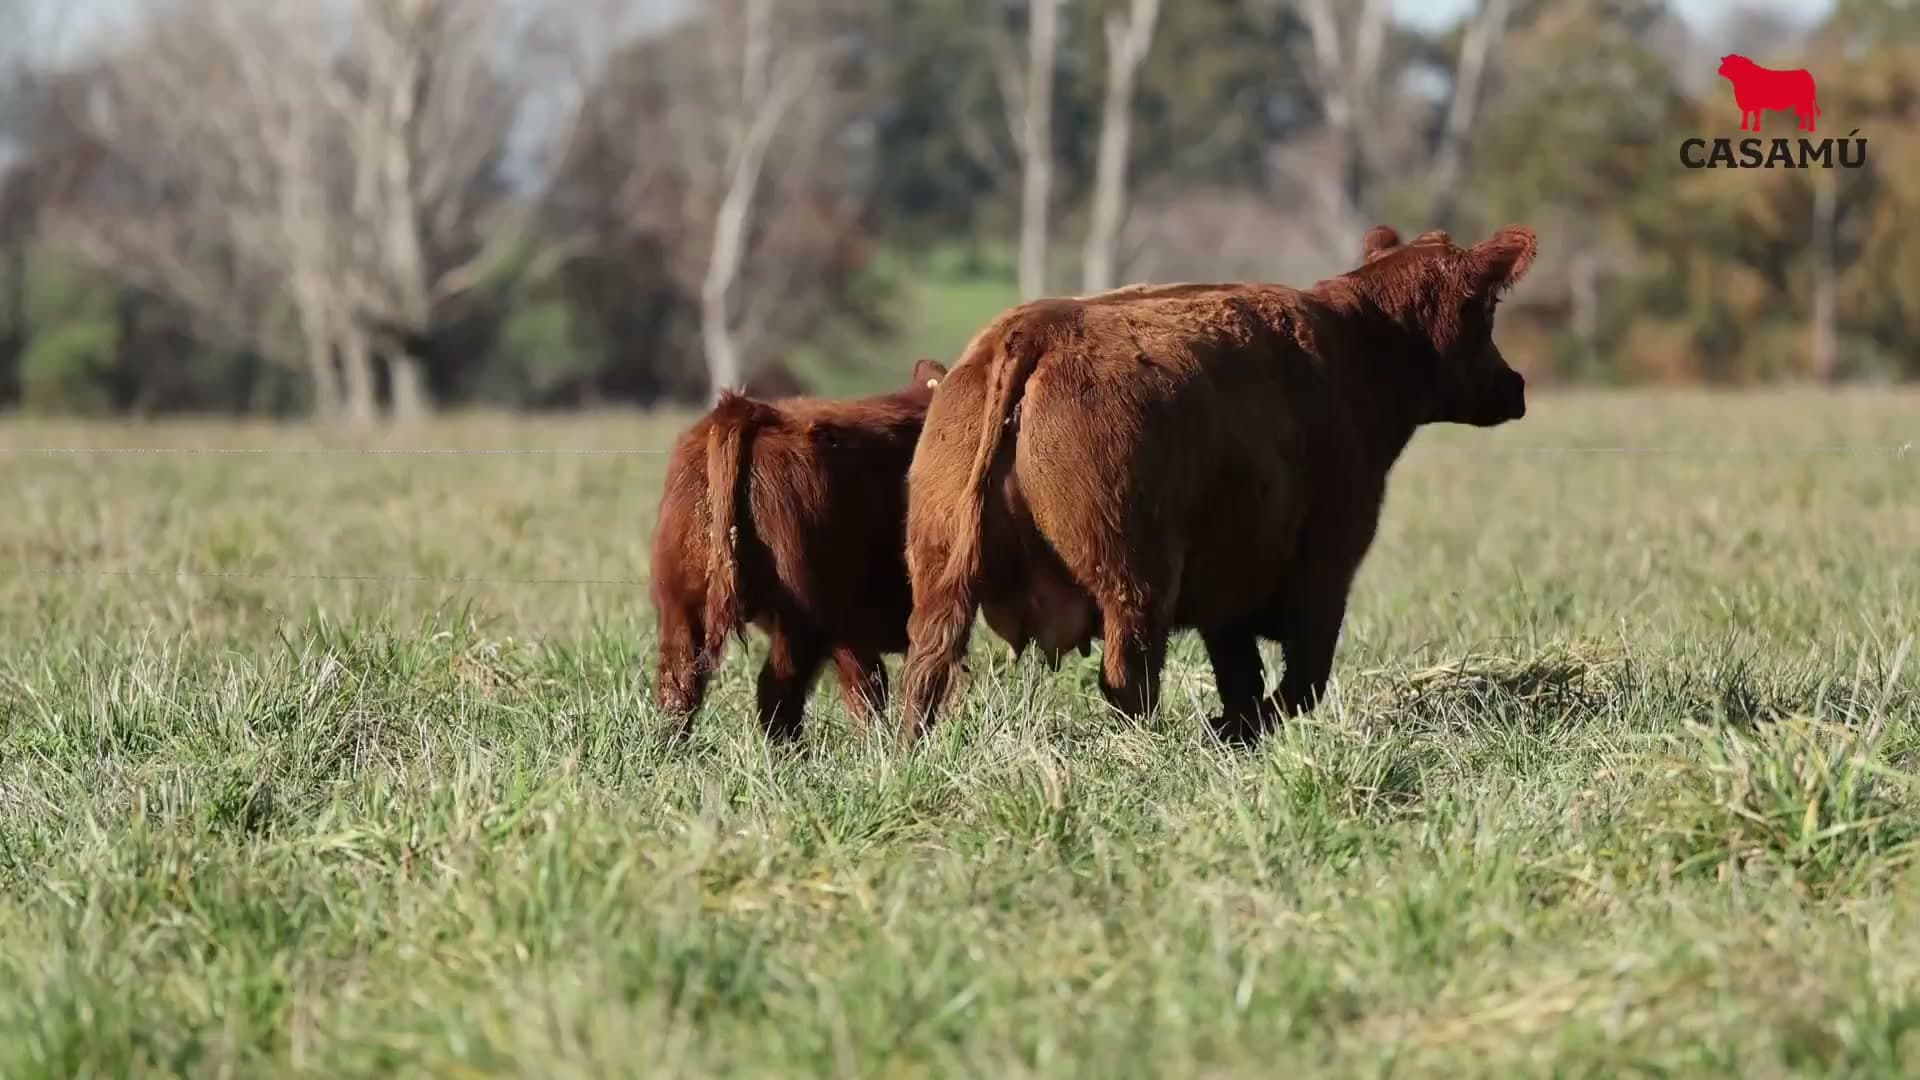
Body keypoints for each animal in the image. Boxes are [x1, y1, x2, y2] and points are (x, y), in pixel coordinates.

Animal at [897, 224, 1537, 745]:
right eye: (1486, 309)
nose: (1517, 385)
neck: (1353, 348)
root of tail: (1035, 329)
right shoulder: (1324, 566)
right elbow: (1301, 679)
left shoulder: (1229, 594)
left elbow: (1242, 679)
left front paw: (1234, 730)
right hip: (1135, 579)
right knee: (1128, 677)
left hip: (940, 572)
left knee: (926, 668)